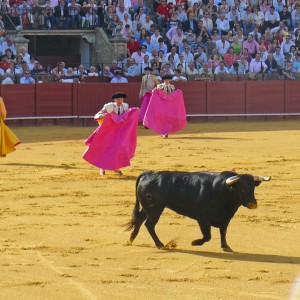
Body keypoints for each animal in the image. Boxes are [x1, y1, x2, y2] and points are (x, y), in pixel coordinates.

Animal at [125, 170, 270, 252]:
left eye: (253, 188)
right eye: (241, 188)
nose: (253, 204)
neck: (222, 190)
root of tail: (148, 173)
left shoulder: (225, 219)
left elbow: (223, 232)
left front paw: (226, 246)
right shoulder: (203, 219)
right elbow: (207, 236)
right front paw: (195, 242)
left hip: (148, 208)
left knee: (139, 219)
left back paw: (130, 239)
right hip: (155, 208)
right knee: (149, 224)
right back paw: (160, 244)